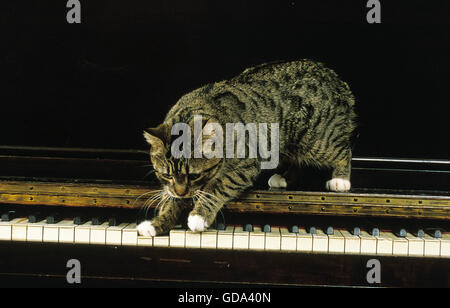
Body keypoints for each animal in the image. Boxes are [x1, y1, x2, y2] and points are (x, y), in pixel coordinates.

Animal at [137, 59, 356, 236]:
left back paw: (340, 180)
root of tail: (334, 78)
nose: (181, 192)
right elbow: (170, 203)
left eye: (194, 175)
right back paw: (283, 177)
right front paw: (156, 224)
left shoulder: (244, 166)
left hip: (315, 140)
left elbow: (217, 186)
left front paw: (199, 216)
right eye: (166, 175)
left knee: (343, 151)